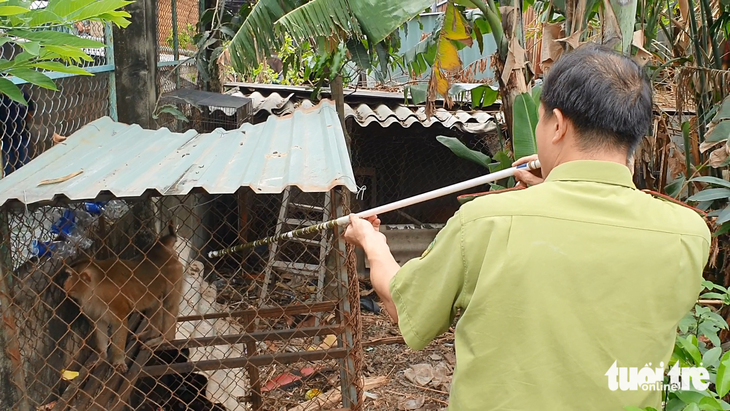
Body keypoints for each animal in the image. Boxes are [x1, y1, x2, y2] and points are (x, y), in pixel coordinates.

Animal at [62, 222, 183, 374]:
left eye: (70, 276)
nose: (65, 284)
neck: (94, 289)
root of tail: (161, 247)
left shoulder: (115, 303)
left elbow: (120, 326)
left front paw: (118, 361)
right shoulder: (94, 309)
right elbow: (100, 325)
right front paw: (101, 357)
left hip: (174, 275)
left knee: (168, 304)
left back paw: (165, 339)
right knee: (155, 303)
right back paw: (152, 332)